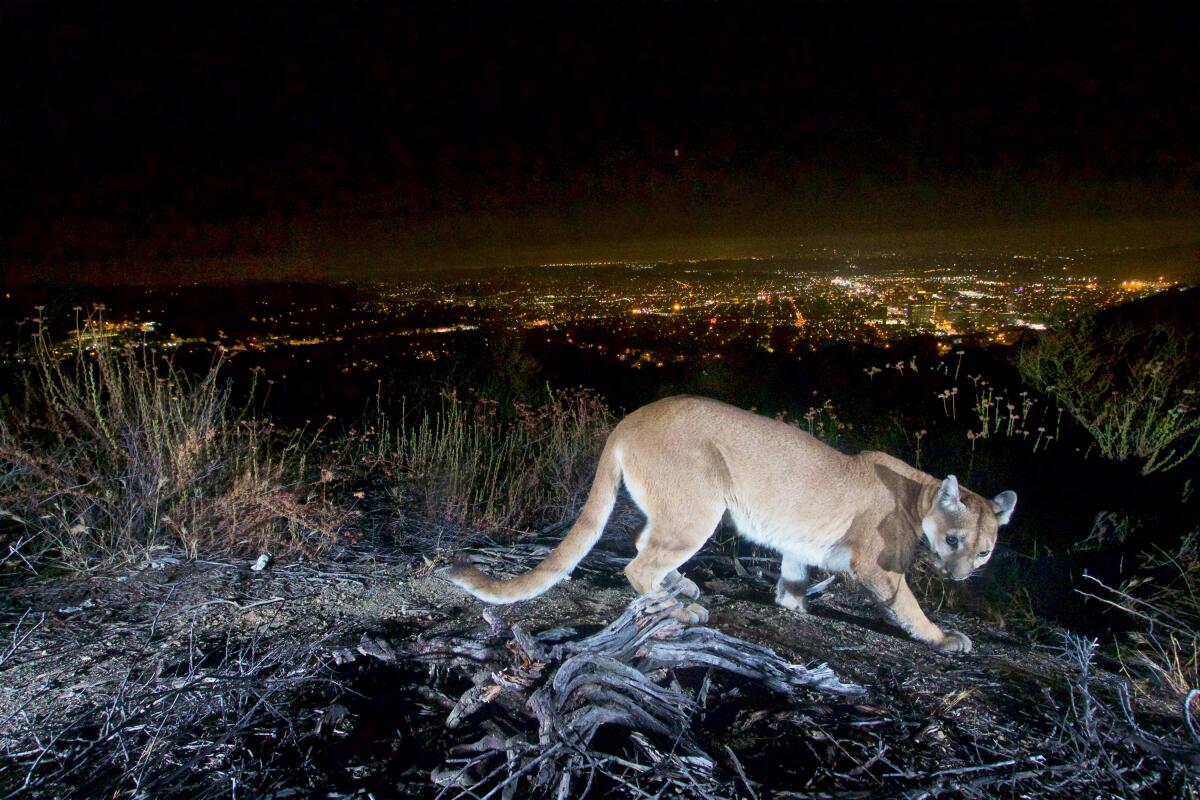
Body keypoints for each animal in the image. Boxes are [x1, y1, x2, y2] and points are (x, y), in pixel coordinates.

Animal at [446, 398, 1017, 652]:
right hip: (701, 506)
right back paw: (682, 607)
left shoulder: (799, 544)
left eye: (984, 551)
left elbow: (793, 576)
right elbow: (907, 605)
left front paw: (793, 606)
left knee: (643, 542)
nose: (960, 576)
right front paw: (943, 638)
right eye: (953, 539)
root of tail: (629, 418)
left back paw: (682, 586)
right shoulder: (878, 566)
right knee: (639, 563)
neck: (919, 493)